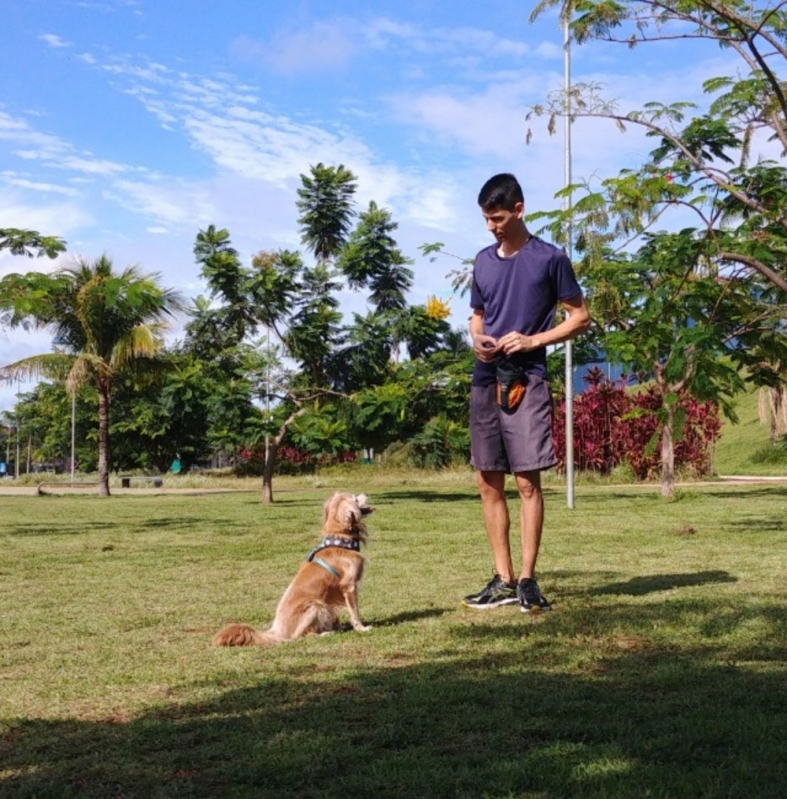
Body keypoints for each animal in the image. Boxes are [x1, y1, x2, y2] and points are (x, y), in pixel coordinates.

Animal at [214, 490, 374, 648]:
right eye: (355, 498)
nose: (366, 492)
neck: (341, 539)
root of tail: (276, 630)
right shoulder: (349, 586)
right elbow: (355, 611)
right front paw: (361, 628)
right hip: (315, 605)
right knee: (299, 636)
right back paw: (324, 633)